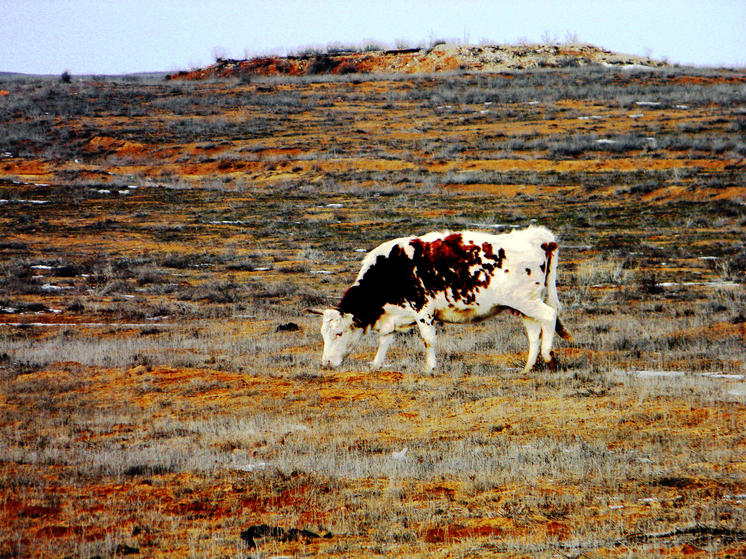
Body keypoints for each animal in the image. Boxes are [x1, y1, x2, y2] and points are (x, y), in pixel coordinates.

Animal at [308, 225, 568, 374]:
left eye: (338, 333)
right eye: (322, 334)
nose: (326, 363)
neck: (392, 268)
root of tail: (539, 237)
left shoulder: (423, 311)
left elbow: (428, 341)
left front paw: (430, 368)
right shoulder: (393, 315)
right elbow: (385, 341)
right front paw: (376, 365)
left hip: (527, 302)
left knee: (549, 317)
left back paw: (548, 357)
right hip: (523, 306)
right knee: (534, 332)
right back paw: (528, 367)